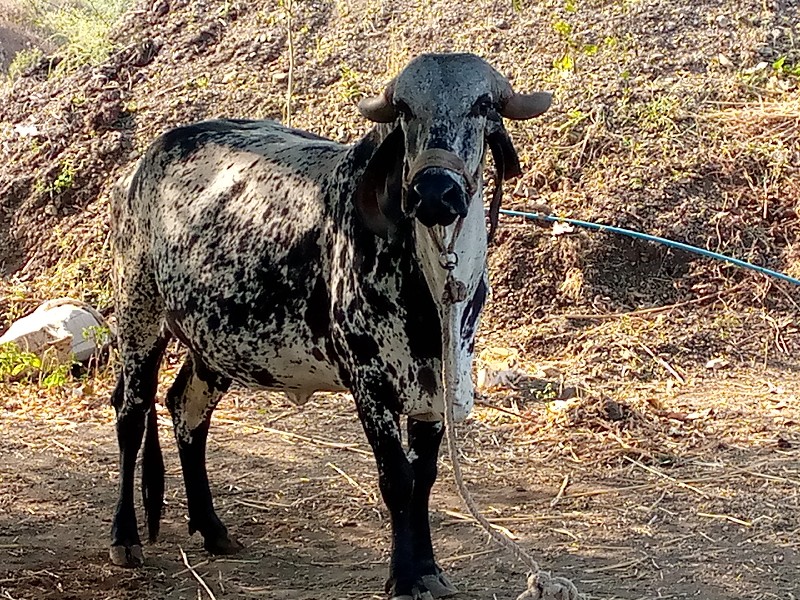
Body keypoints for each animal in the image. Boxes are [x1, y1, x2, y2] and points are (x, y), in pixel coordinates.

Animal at [108, 52, 552, 600]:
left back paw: (212, 528)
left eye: (484, 105)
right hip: (138, 312)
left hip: (215, 342)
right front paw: (403, 576)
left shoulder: (432, 388)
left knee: (185, 410)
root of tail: (145, 161)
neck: (433, 289)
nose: (434, 192)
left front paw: (429, 569)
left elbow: (425, 477)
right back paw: (125, 537)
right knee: (131, 413)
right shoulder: (371, 383)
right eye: (405, 110)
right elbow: (398, 480)